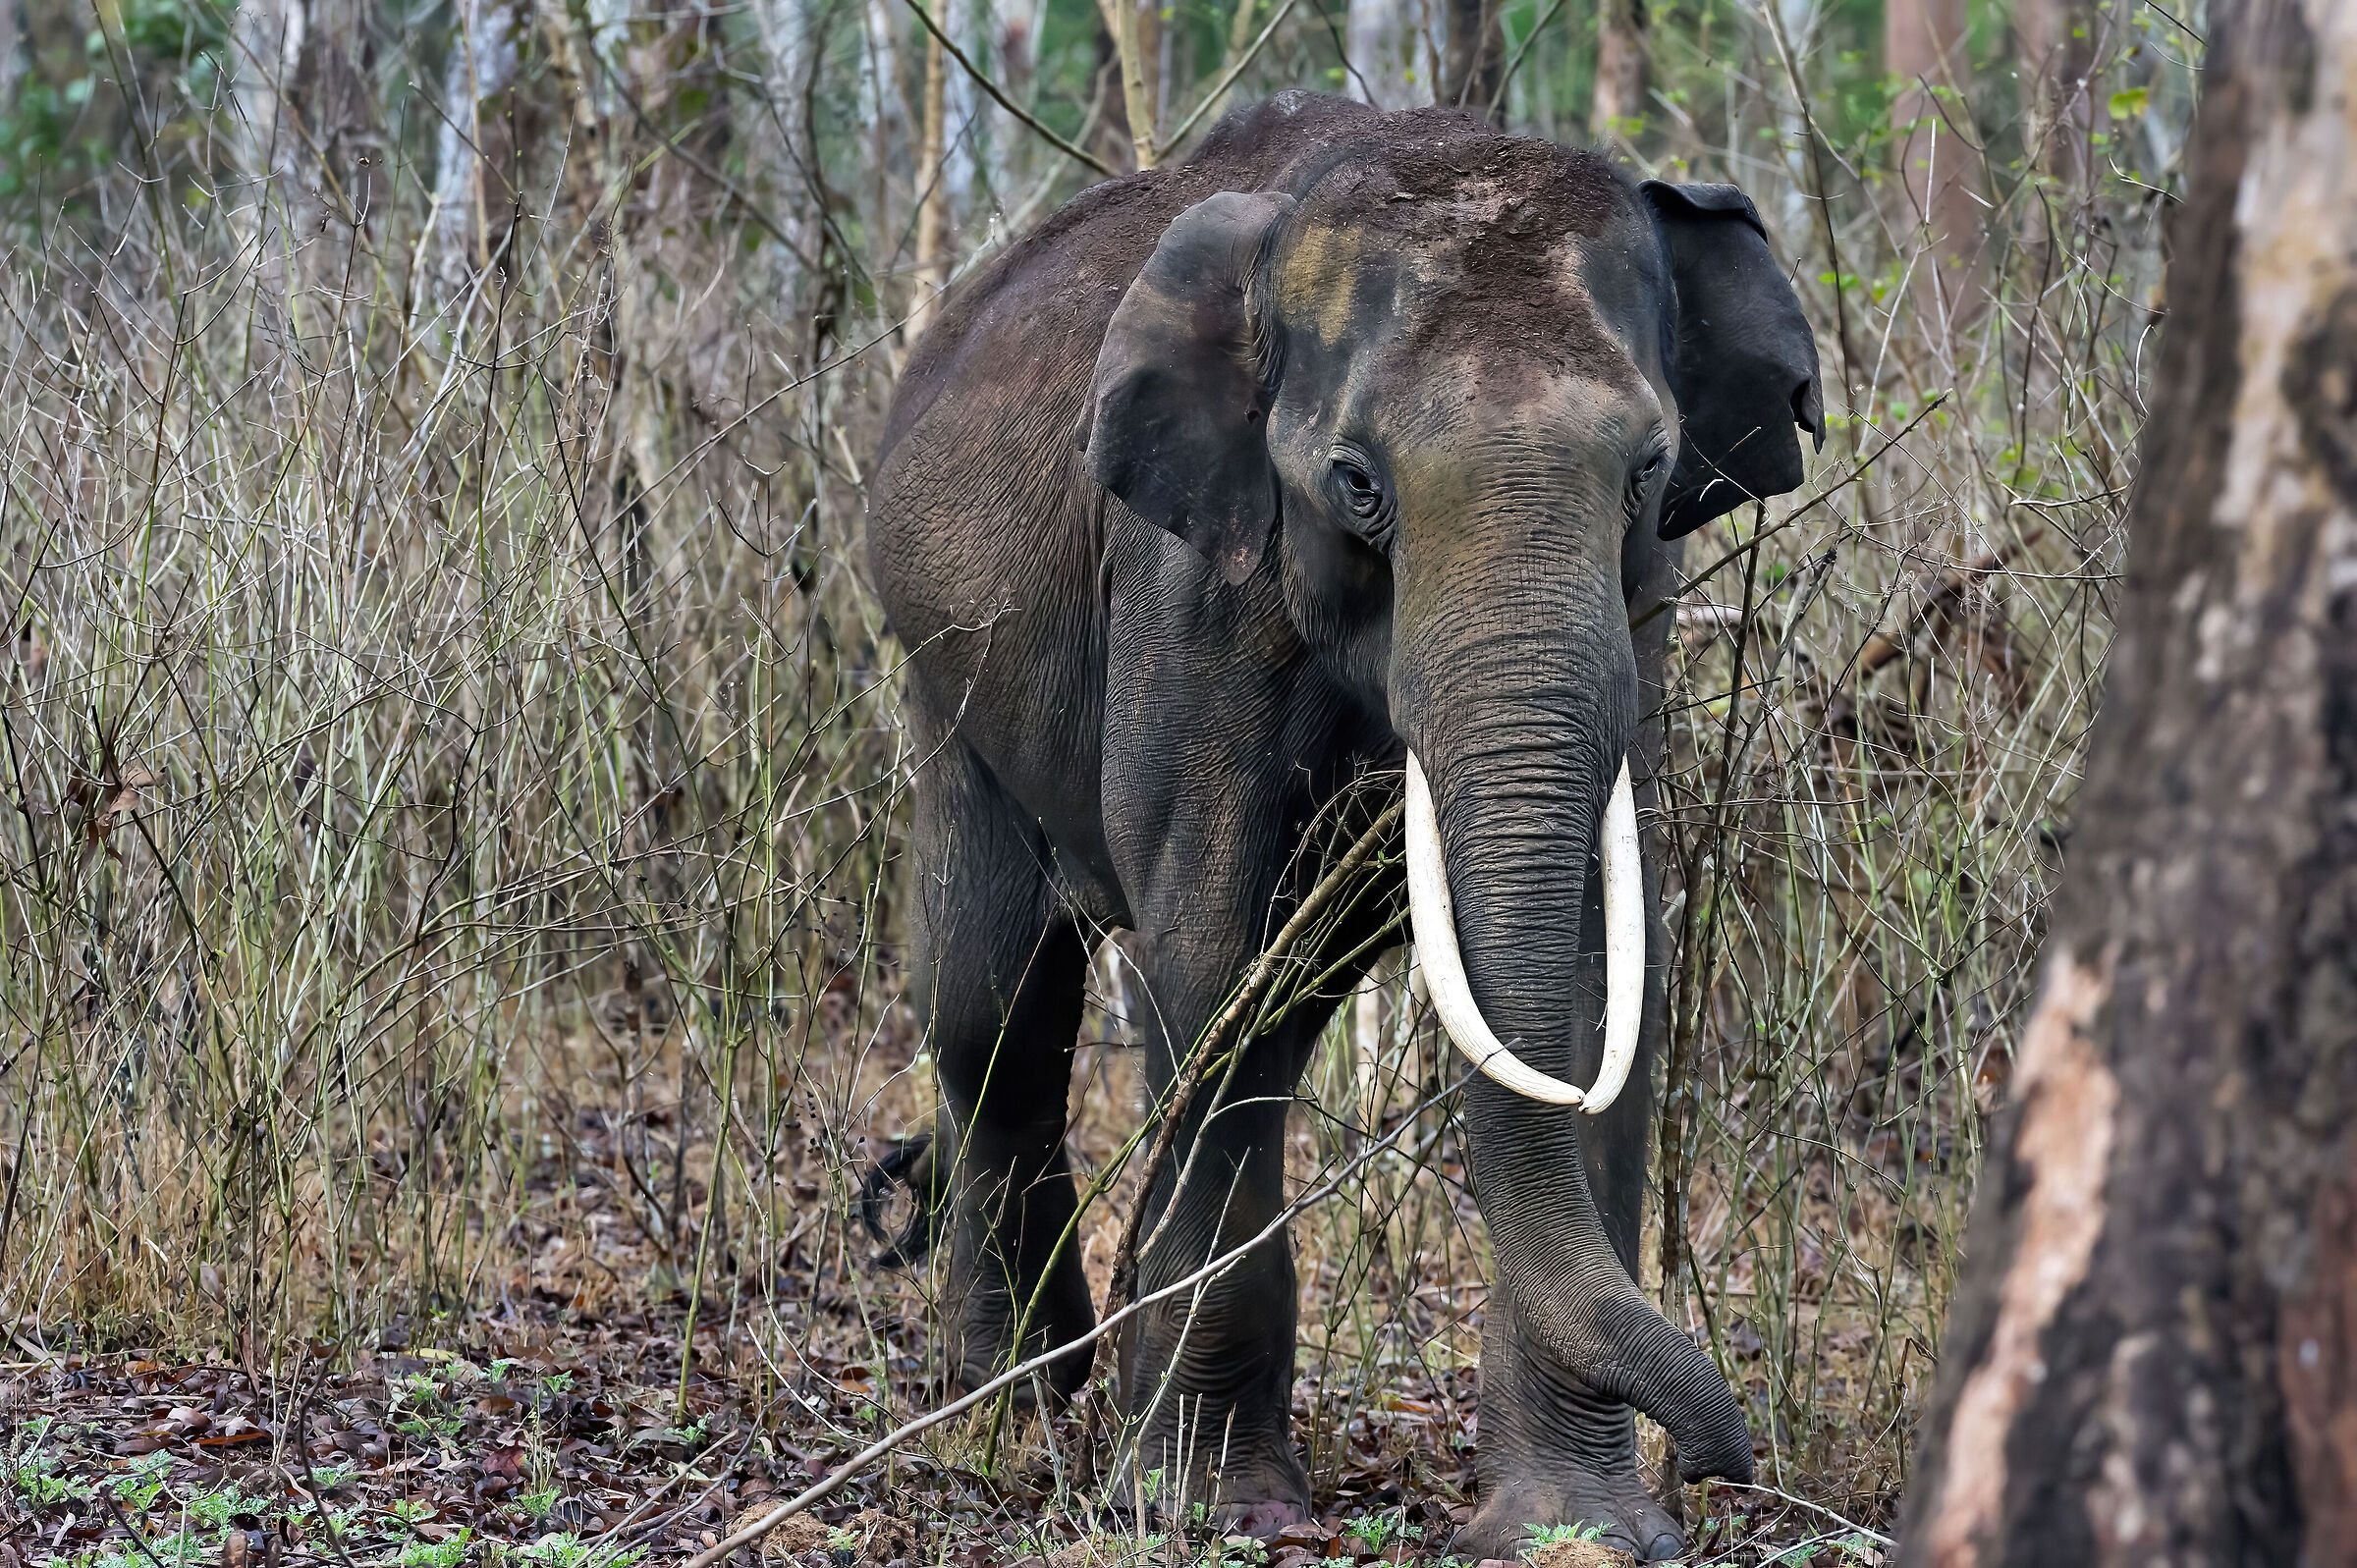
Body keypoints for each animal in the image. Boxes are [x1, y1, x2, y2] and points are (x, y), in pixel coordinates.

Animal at [861, 92, 1824, 1561]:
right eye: (1357, 483)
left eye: (1649, 469)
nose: (1729, 1464)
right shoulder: (1190, 585)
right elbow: (1214, 957)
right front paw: (1214, 1505)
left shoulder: (1643, 621)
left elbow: (1598, 979)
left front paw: (1580, 1533)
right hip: (947, 684)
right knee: (994, 1012)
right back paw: (1009, 1403)